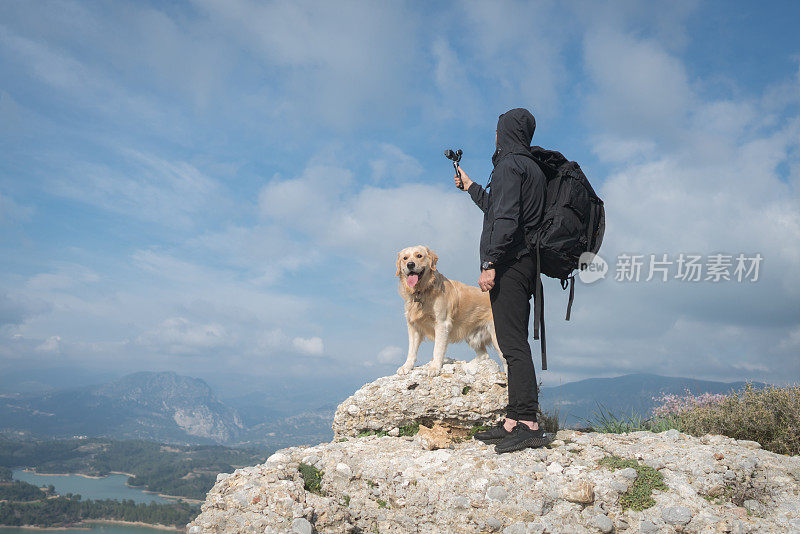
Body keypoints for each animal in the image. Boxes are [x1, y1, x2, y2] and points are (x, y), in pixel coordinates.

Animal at [396, 246, 504, 376]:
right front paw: (406, 366)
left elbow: (437, 349)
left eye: (419, 256)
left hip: (497, 337)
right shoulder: (413, 326)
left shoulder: (442, 324)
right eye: (405, 258)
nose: (410, 264)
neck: (422, 291)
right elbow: (411, 351)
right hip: (471, 334)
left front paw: (434, 367)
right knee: (484, 355)